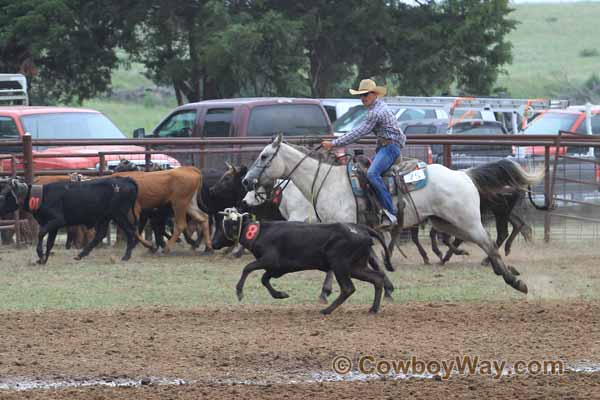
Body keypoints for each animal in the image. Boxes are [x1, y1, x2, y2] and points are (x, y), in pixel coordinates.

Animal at [0, 177, 142, 264]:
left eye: (4, 195)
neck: (42, 196)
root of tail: (125, 179)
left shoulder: (57, 221)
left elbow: (41, 234)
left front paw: (40, 255)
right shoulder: (54, 226)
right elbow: (50, 242)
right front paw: (43, 259)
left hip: (118, 215)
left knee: (130, 231)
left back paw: (126, 256)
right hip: (106, 217)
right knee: (100, 235)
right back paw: (81, 254)